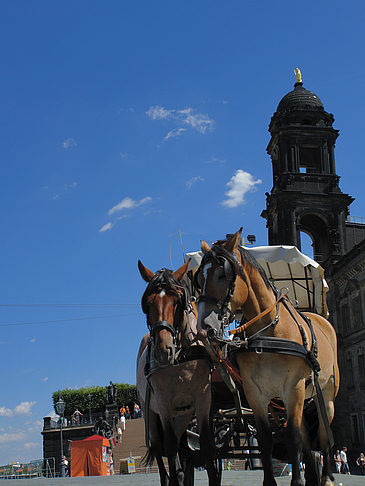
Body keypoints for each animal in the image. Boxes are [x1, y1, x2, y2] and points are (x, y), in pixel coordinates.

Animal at [135, 262, 218, 486]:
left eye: (177, 301)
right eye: (147, 303)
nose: (164, 351)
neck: (181, 357)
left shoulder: (203, 398)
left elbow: (206, 445)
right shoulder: (162, 402)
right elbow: (170, 447)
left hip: (182, 414)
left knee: (182, 442)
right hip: (149, 412)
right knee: (158, 447)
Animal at [195, 231, 340, 486]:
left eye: (224, 274)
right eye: (198, 279)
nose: (204, 328)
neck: (268, 331)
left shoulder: (293, 388)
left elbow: (292, 438)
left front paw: (298, 481)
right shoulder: (255, 392)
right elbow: (265, 440)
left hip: (326, 395)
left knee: (323, 435)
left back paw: (327, 477)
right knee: (306, 436)